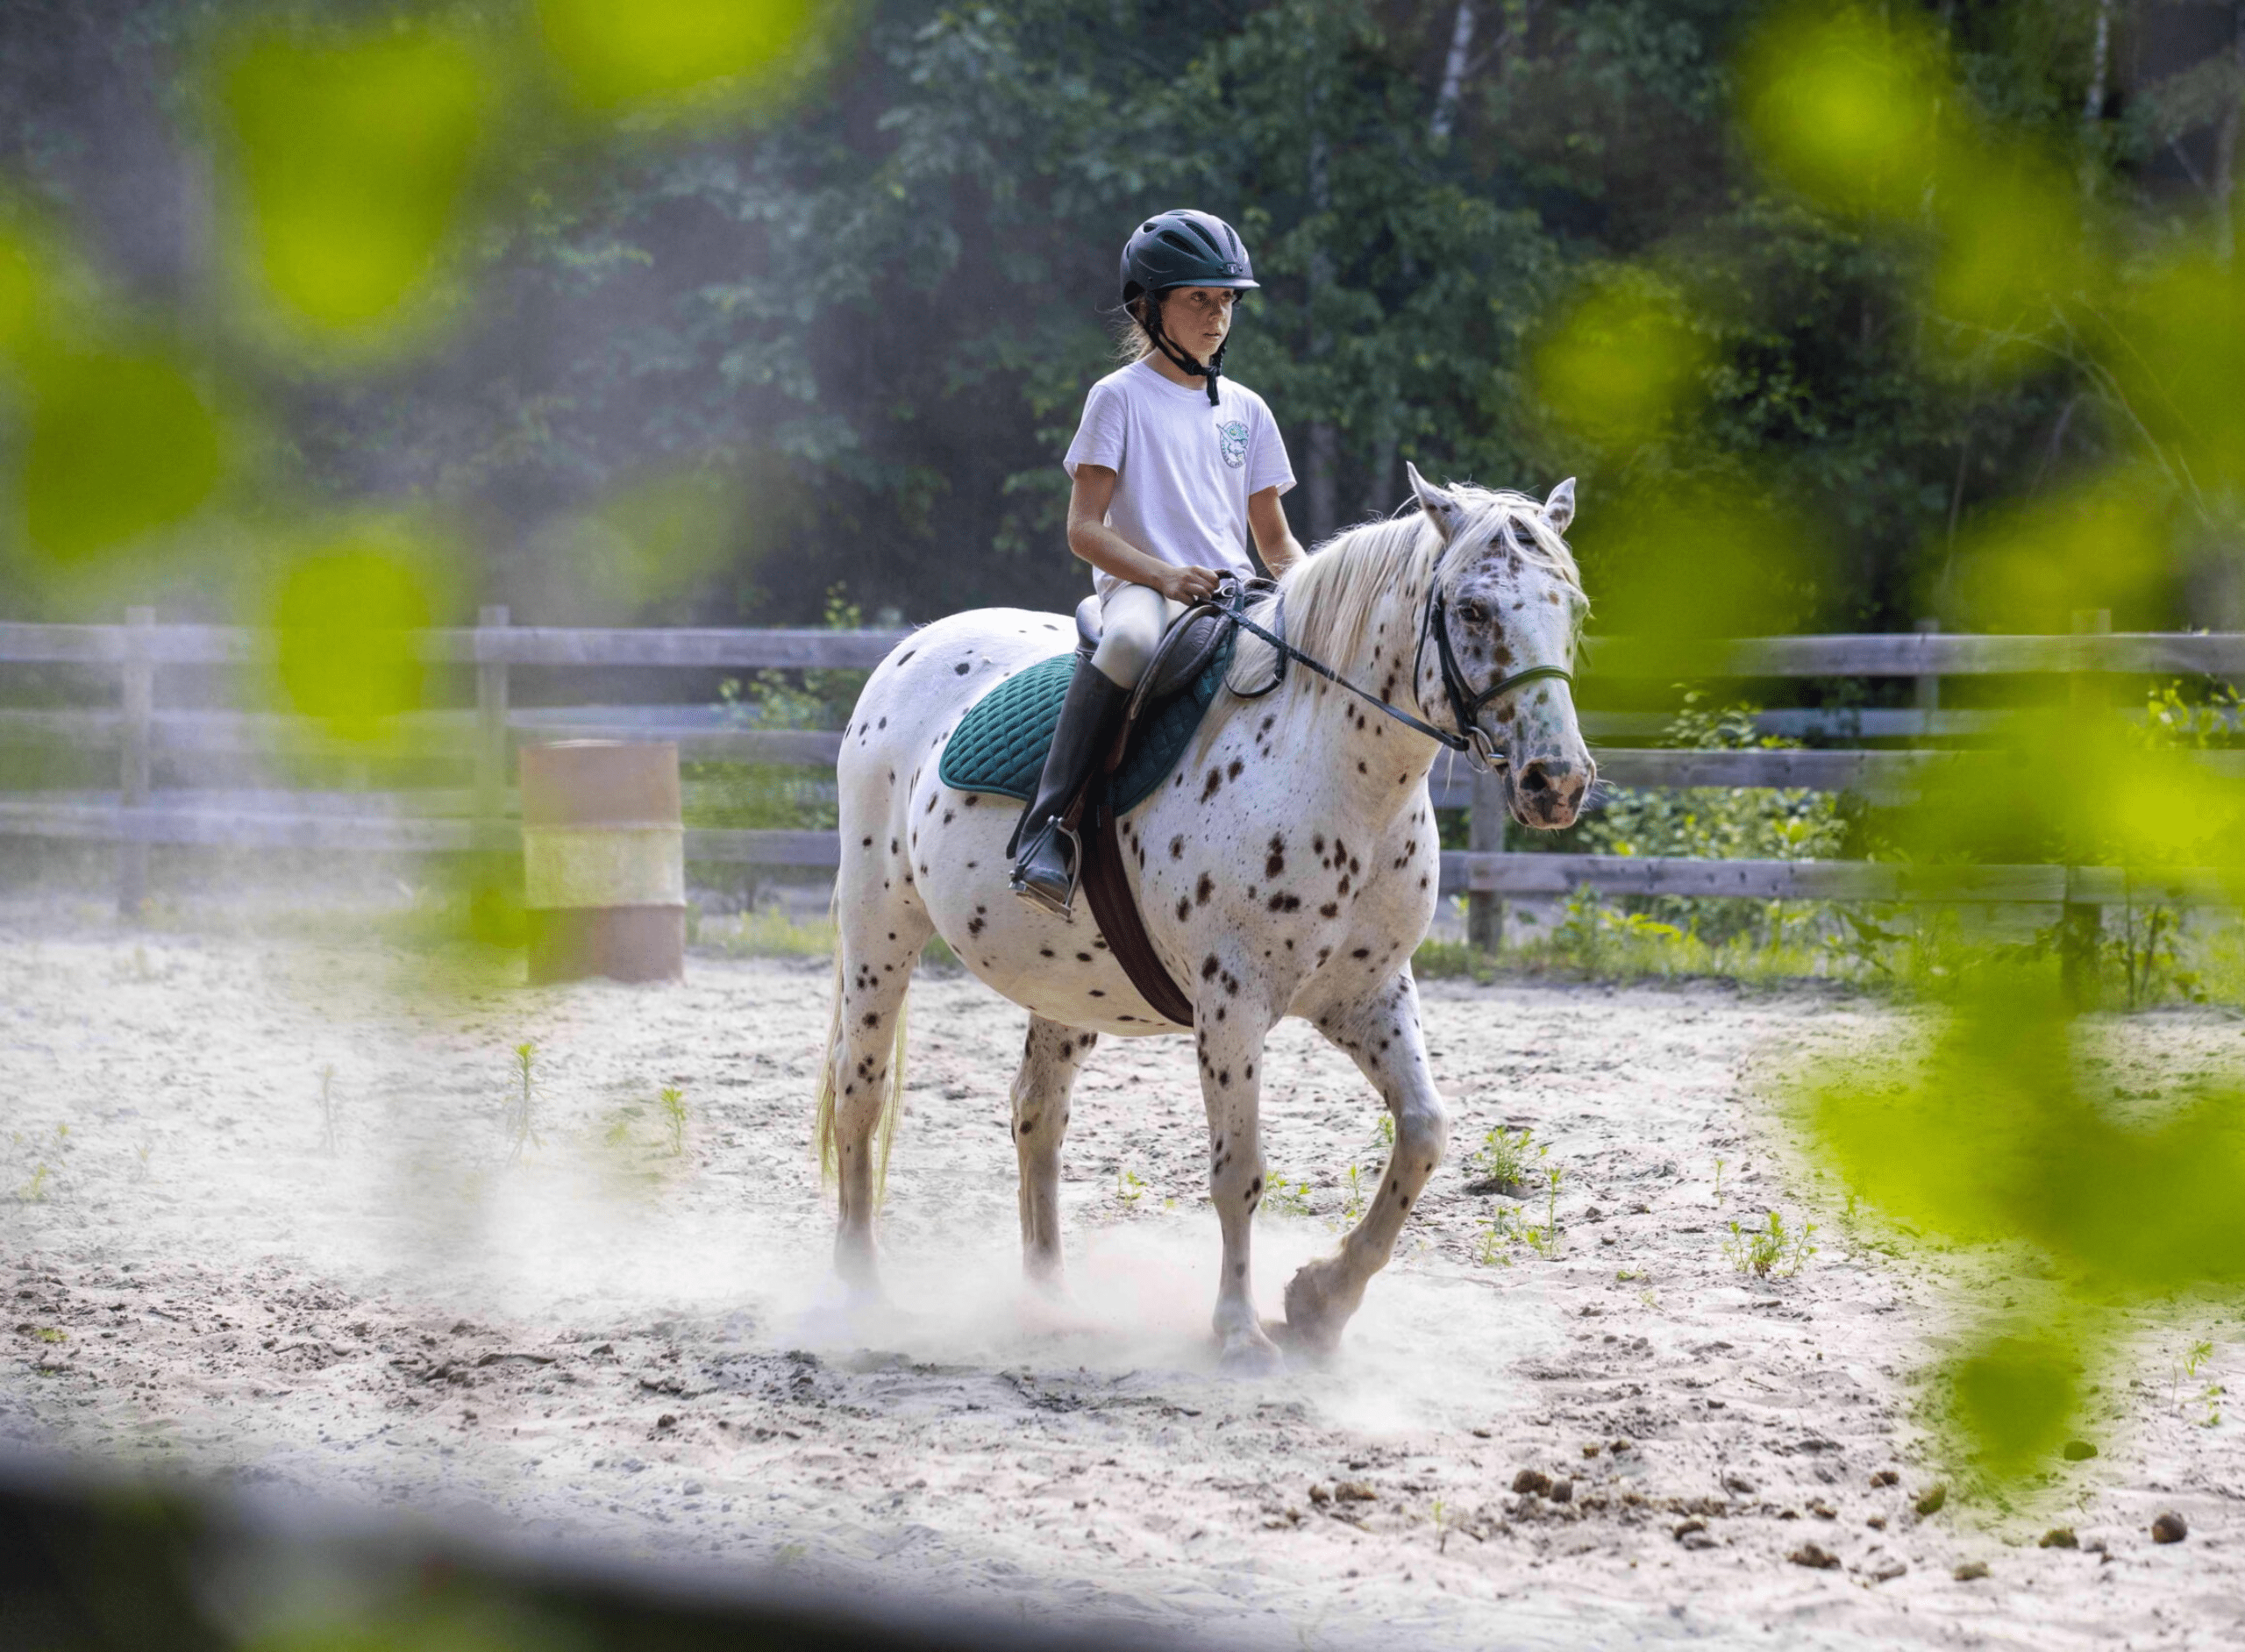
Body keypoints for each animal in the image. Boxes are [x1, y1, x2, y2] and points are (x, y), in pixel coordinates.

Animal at [814, 464, 1593, 1369]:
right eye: (1471, 609)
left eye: (1573, 608)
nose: (1556, 782)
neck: (1332, 769)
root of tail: (916, 647)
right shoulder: (1234, 1004)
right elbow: (1239, 1170)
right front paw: (1239, 1330)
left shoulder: (1368, 994)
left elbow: (1424, 1133)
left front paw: (1320, 1303)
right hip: (880, 927)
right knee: (861, 1092)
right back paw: (861, 1292)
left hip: (1061, 986)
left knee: (1036, 1116)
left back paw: (1051, 1302)